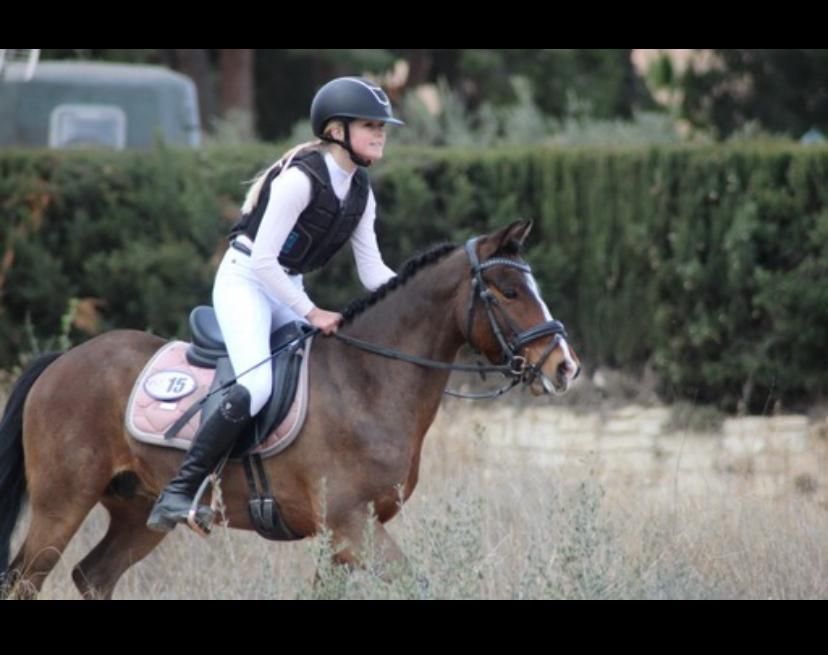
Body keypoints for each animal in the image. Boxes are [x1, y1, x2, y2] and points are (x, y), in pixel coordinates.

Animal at [0, 219, 579, 599]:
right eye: (508, 291)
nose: (565, 367)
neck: (367, 381)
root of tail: (63, 360)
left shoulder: (339, 539)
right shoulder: (352, 526)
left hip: (136, 512)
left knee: (93, 576)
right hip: (62, 504)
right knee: (25, 579)